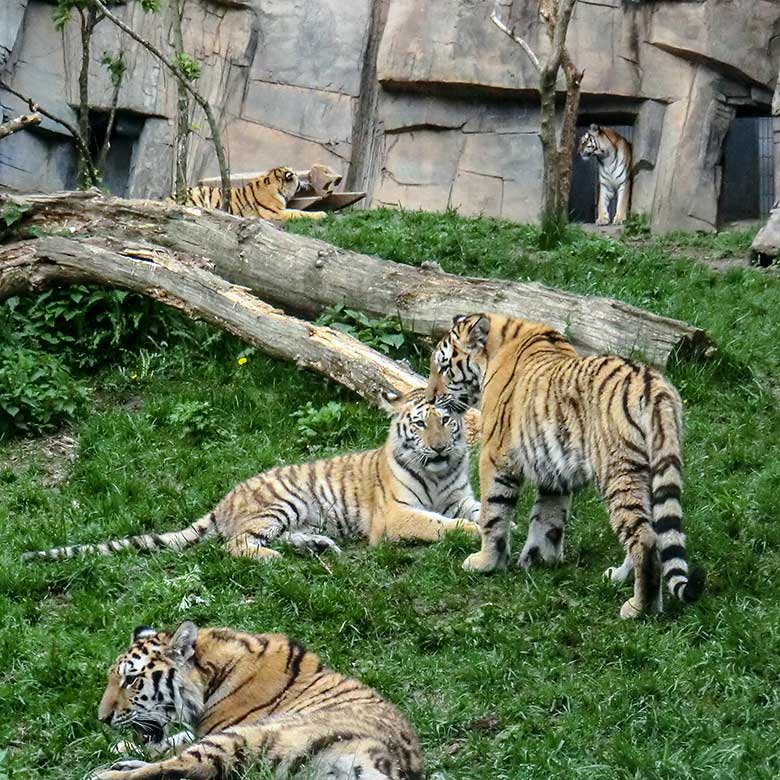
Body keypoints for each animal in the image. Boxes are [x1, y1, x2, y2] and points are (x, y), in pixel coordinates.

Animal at [24, 394, 482, 564]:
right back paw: (272, 558)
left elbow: (475, 513)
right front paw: (470, 534)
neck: (438, 473)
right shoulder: (397, 516)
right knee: (235, 544)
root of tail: (224, 499)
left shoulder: (462, 497)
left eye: (447, 422)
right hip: (283, 503)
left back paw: (317, 546)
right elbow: (439, 524)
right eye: (420, 424)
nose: (440, 448)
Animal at [91, 620, 424, 780]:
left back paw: (105, 774)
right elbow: (173, 740)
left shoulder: (218, 730)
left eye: (130, 680)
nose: (102, 719)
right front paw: (120, 746)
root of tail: (386, 759)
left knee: (182, 768)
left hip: (245, 737)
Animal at [430, 314, 704, 620]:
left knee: (644, 539)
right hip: (648, 471)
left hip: (618, 471)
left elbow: (493, 514)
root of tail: (654, 385)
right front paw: (540, 559)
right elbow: (547, 518)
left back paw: (639, 608)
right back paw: (620, 578)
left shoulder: (496, 457)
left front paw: (485, 563)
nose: (430, 398)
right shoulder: (553, 469)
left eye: (444, 367)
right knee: (653, 534)